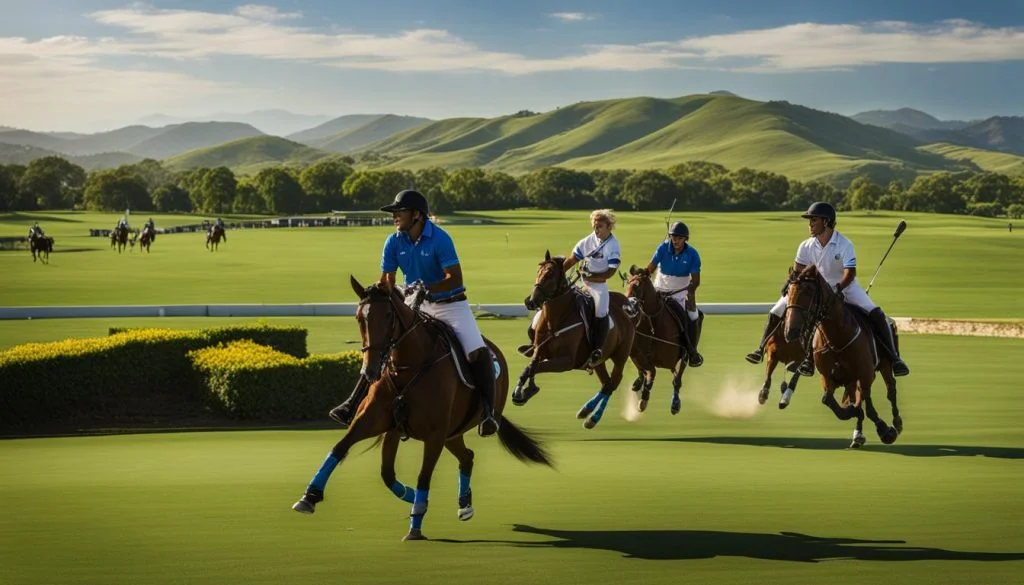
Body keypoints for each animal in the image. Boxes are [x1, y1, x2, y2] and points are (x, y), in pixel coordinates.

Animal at [292, 276, 557, 540]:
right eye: (359, 317)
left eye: (388, 315)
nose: (370, 370)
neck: (407, 366)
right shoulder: (379, 424)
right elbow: (349, 453)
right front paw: (310, 496)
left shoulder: (434, 434)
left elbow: (423, 475)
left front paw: (415, 523)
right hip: (451, 433)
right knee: (466, 456)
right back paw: (463, 504)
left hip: (454, 428)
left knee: (467, 450)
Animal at [516, 251, 634, 430]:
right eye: (538, 271)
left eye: (549, 275)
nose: (530, 301)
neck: (555, 319)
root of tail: (628, 306)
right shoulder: (539, 349)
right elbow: (531, 366)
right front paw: (522, 391)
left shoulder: (566, 361)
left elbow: (537, 367)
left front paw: (525, 391)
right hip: (598, 361)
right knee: (606, 382)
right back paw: (586, 411)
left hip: (621, 356)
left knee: (613, 383)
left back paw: (593, 418)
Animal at [622, 268, 704, 413]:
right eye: (627, 284)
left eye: (637, 286)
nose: (627, 309)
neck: (653, 323)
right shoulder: (637, 353)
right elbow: (645, 369)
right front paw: (641, 389)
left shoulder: (675, 356)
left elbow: (662, 375)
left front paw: (645, 398)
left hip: (686, 354)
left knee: (678, 378)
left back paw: (675, 403)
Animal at [782, 266, 905, 448]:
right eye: (788, 291)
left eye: (809, 291)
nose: (791, 331)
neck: (837, 338)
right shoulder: (828, 377)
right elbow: (829, 400)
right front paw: (852, 412)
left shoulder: (866, 373)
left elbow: (867, 407)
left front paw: (885, 430)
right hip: (852, 379)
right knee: (859, 397)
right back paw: (858, 434)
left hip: (884, 364)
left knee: (891, 389)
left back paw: (896, 422)